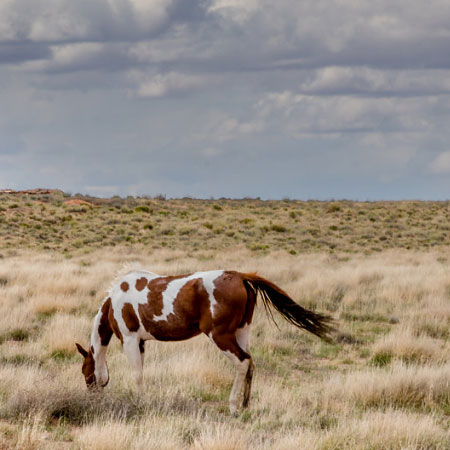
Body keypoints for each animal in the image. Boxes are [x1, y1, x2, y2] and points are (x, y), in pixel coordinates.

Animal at [74, 270, 334, 414]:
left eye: (84, 371)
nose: (90, 397)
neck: (116, 300)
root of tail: (240, 276)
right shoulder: (140, 343)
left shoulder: (130, 340)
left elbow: (137, 375)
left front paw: (139, 402)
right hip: (242, 333)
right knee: (251, 364)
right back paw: (245, 405)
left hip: (221, 336)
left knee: (242, 362)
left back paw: (233, 407)